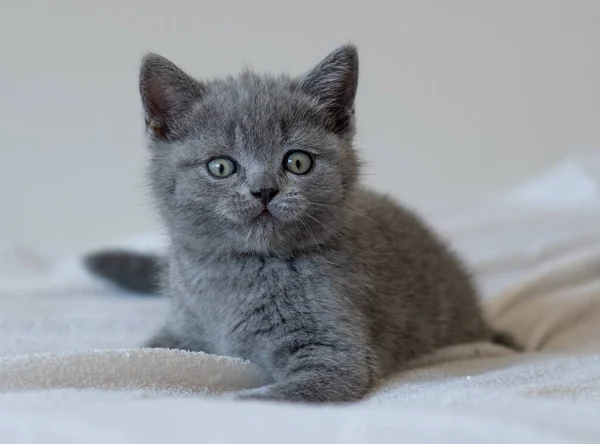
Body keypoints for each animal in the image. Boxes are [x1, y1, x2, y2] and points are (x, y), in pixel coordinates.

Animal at [85, 44, 520, 402]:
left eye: (297, 162)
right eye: (221, 166)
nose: (264, 190)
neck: (239, 272)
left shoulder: (336, 353)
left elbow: (268, 397)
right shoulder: (180, 330)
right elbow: (143, 354)